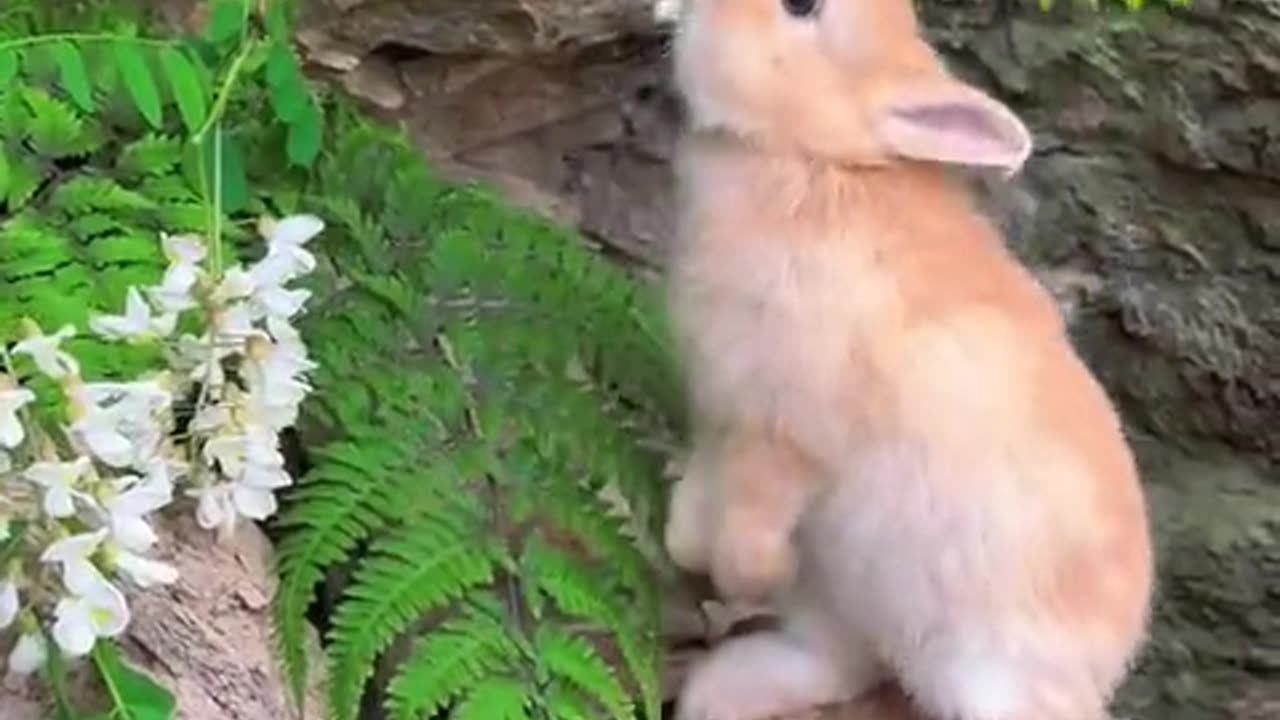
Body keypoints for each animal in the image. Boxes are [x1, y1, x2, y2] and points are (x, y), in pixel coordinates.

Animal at [660, 0, 1162, 712]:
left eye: (802, 8)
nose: (691, 12)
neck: (817, 159)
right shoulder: (720, 413)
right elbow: (698, 507)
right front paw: (688, 548)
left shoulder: (787, 437)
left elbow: (752, 527)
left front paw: (752, 573)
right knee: (839, 664)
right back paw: (721, 692)